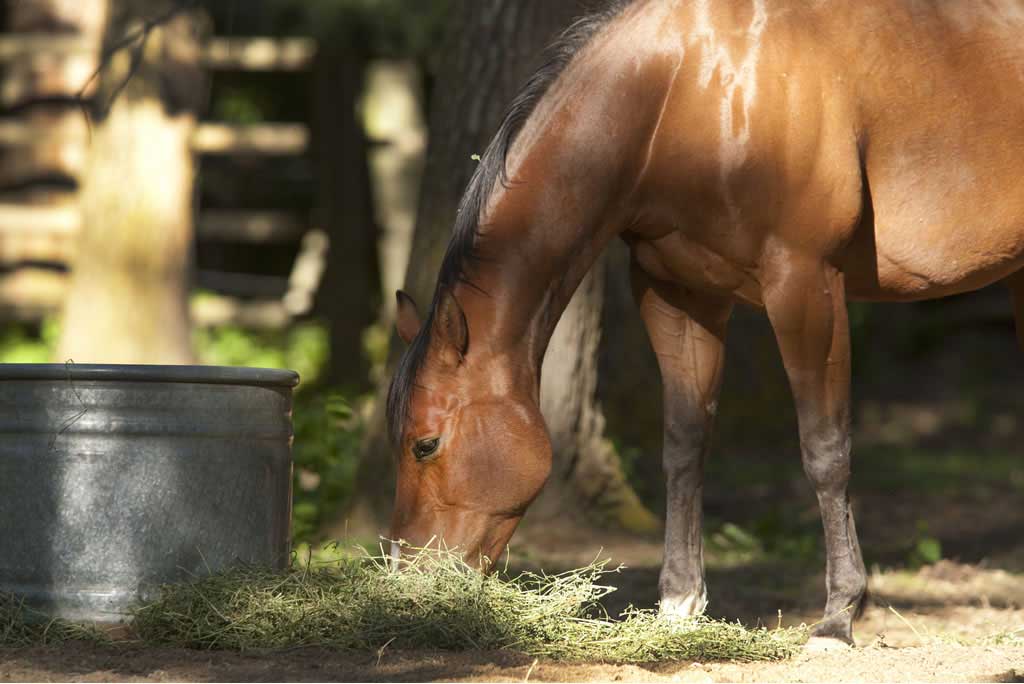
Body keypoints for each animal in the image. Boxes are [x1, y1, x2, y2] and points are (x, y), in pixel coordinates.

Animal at [382, 0, 1024, 647]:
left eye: (425, 445)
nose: (406, 582)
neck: (686, 94)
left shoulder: (805, 284)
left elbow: (824, 447)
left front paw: (839, 615)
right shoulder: (679, 294)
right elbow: (684, 444)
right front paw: (679, 602)